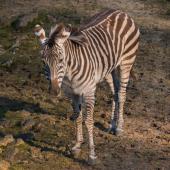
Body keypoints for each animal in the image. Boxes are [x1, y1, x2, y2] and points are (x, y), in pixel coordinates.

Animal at [33, 8, 139, 163]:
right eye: (43, 61)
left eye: (61, 60)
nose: (54, 91)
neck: (69, 72)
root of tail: (120, 11)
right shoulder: (72, 93)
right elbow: (77, 117)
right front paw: (77, 146)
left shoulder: (88, 91)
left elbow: (88, 121)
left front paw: (92, 154)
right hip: (109, 69)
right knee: (115, 91)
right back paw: (112, 125)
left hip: (126, 62)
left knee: (122, 94)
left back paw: (119, 127)